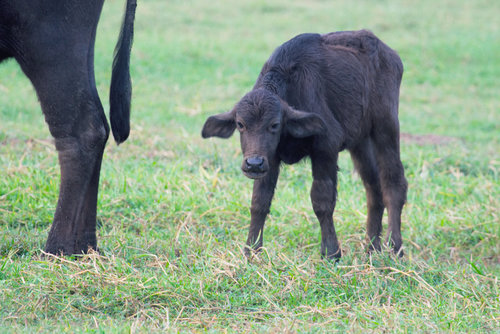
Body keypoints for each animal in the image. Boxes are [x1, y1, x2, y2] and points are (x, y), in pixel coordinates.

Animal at [201, 30, 408, 260]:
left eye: (275, 124)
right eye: (240, 124)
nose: (253, 163)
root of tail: (390, 55)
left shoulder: (326, 148)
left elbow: (322, 200)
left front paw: (331, 252)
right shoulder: (270, 159)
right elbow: (259, 202)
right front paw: (251, 251)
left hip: (386, 127)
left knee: (394, 183)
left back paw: (395, 247)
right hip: (360, 141)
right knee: (373, 188)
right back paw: (372, 247)